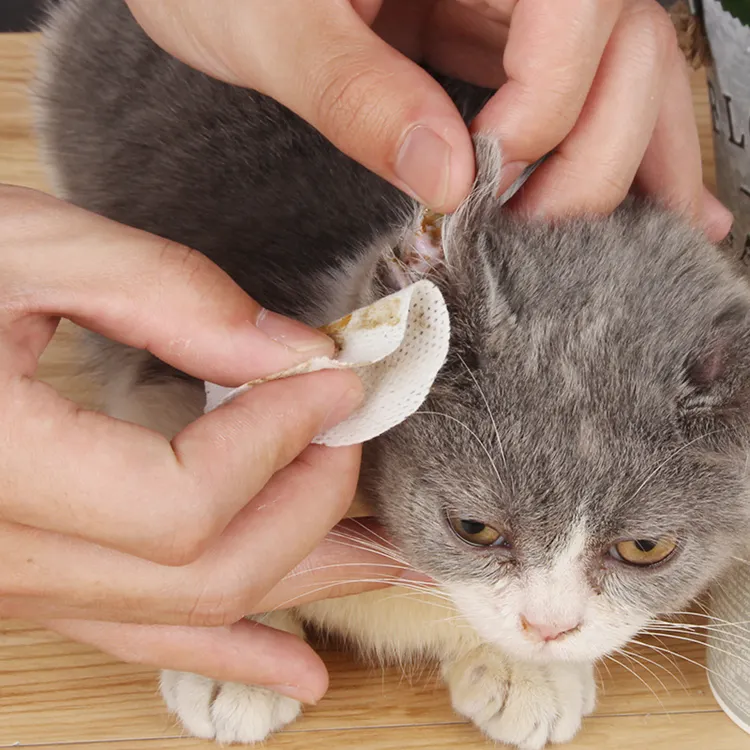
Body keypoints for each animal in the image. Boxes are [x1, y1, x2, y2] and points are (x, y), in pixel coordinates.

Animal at [32, 1, 750, 750]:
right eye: (473, 528)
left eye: (646, 547)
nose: (547, 628)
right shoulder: (168, 373)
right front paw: (233, 660)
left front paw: (525, 670)